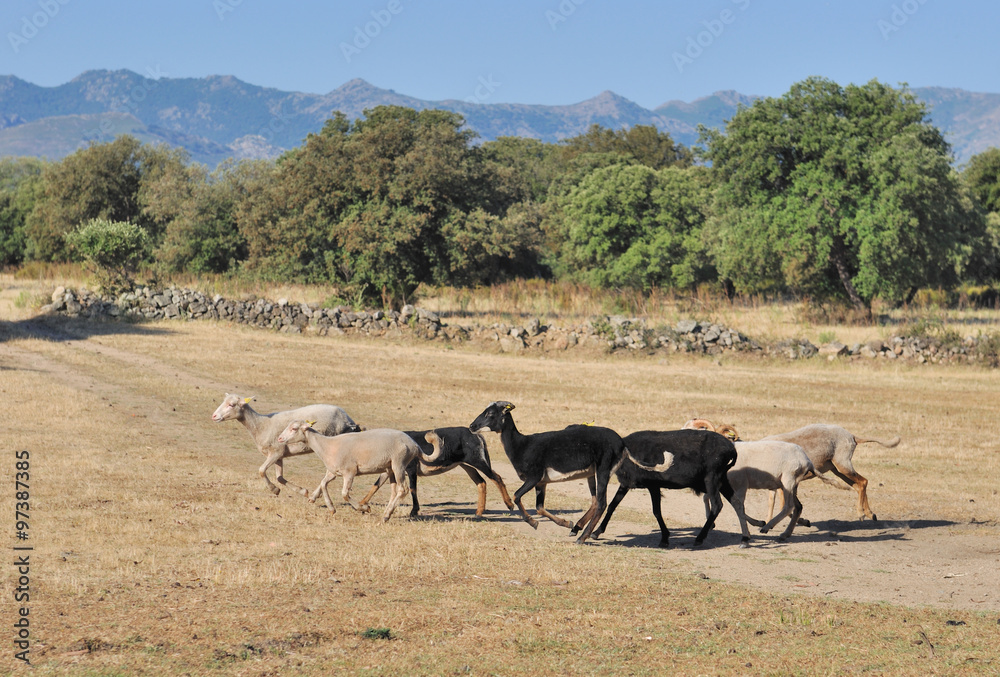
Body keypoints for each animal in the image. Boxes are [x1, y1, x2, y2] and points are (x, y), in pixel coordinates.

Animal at [213, 390, 362, 496]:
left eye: (232, 405)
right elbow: (279, 477)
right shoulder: (279, 455)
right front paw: (301, 491)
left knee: (330, 473)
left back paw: (315, 495)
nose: (214, 416)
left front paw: (273, 489)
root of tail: (348, 420)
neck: (260, 425)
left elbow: (261, 470)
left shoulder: (276, 451)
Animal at [278, 418, 442, 524]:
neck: (327, 446)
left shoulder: (349, 472)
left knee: (403, 489)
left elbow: (344, 494)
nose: (279, 439)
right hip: (390, 468)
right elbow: (323, 484)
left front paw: (364, 508)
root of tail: (414, 444)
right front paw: (331, 508)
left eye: (294, 429)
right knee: (394, 491)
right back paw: (386, 514)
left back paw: (386, 516)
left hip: (399, 463)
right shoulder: (333, 472)